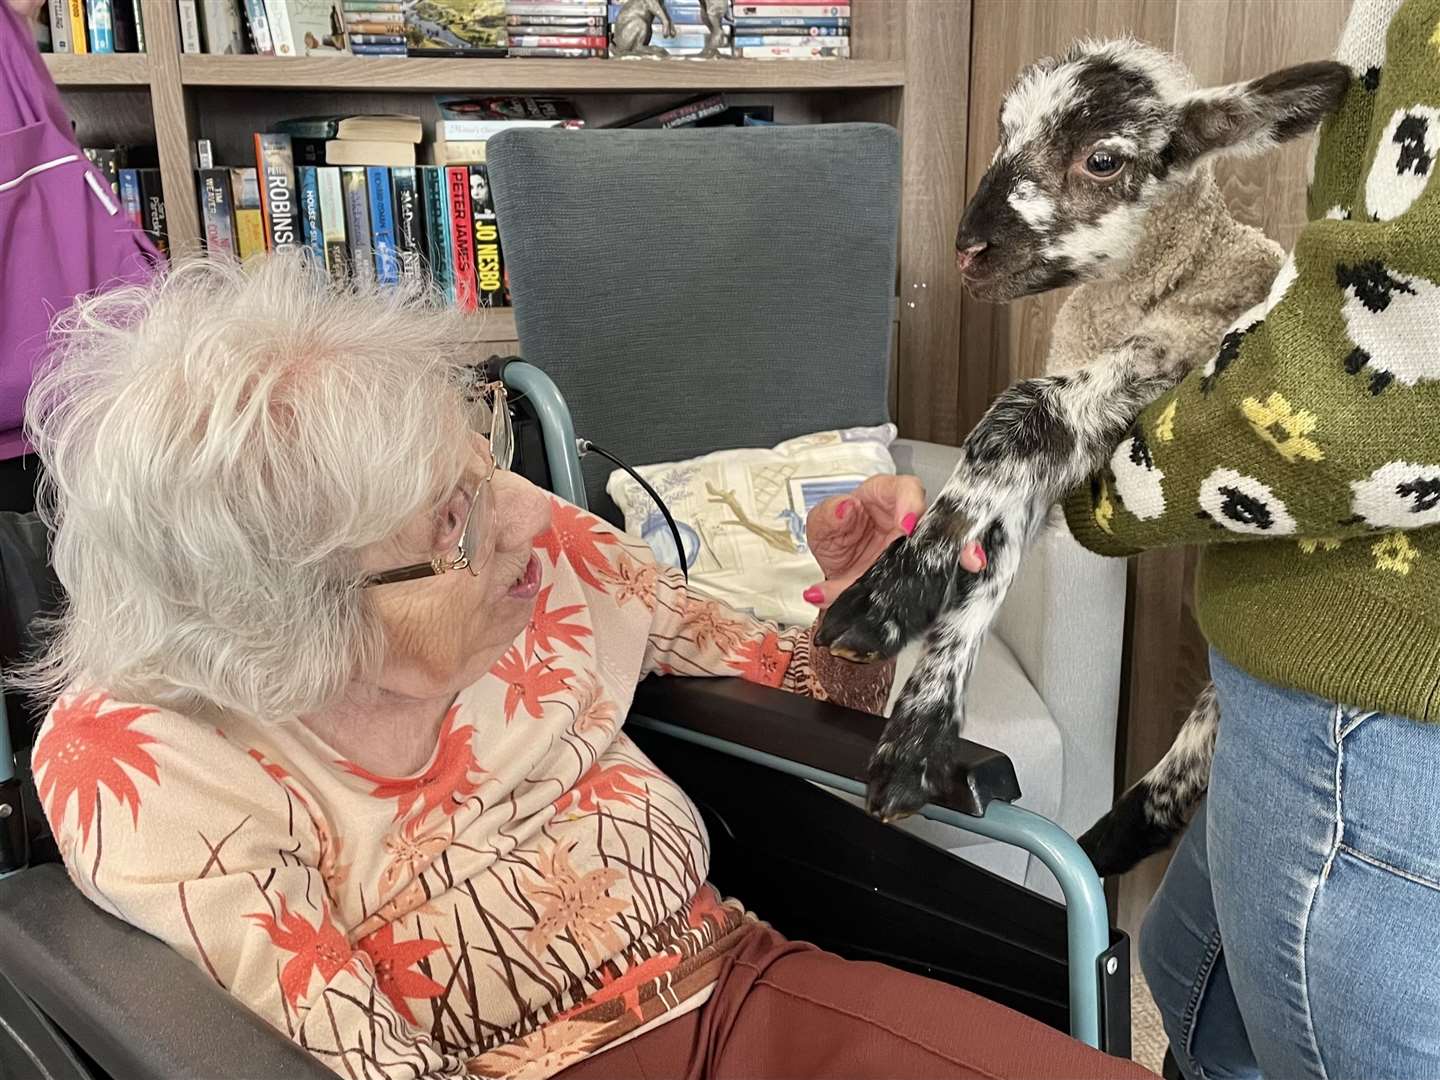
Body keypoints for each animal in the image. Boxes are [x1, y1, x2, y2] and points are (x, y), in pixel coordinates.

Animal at [817, 33, 1353, 858]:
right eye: (1003, 131)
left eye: (1103, 160)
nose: (970, 250)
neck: (1154, 283)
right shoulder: (1078, 474)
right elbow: (993, 541)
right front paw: (917, 716)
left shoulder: (1171, 363)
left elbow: (1020, 414)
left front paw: (891, 600)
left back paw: (1132, 824)